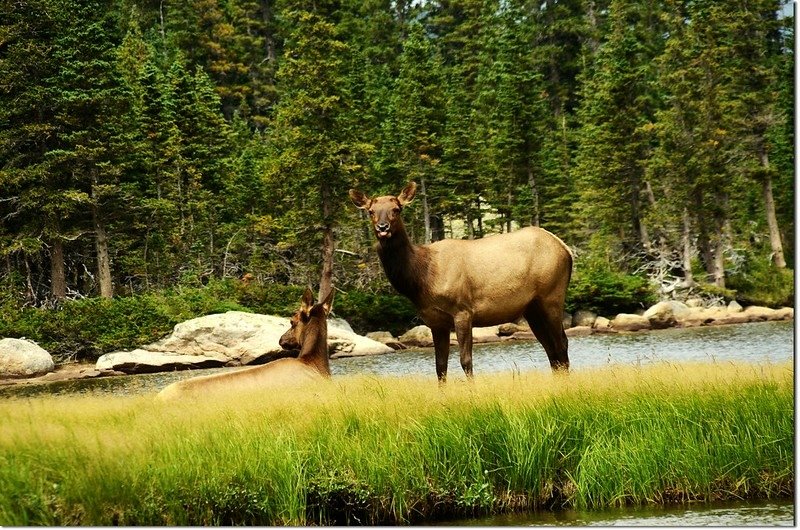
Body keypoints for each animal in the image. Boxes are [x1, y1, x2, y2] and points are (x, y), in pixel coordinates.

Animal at [352, 182, 576, 380]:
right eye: (371, 211)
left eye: (396, 209)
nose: (382, 228)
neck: (422, 278)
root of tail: (565, 248)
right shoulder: (434, 321)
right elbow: (440, 366)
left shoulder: (463, 310)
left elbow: (465, 361)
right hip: (532, 308)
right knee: (550, 347)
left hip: (552, 296)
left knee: (561, 343)